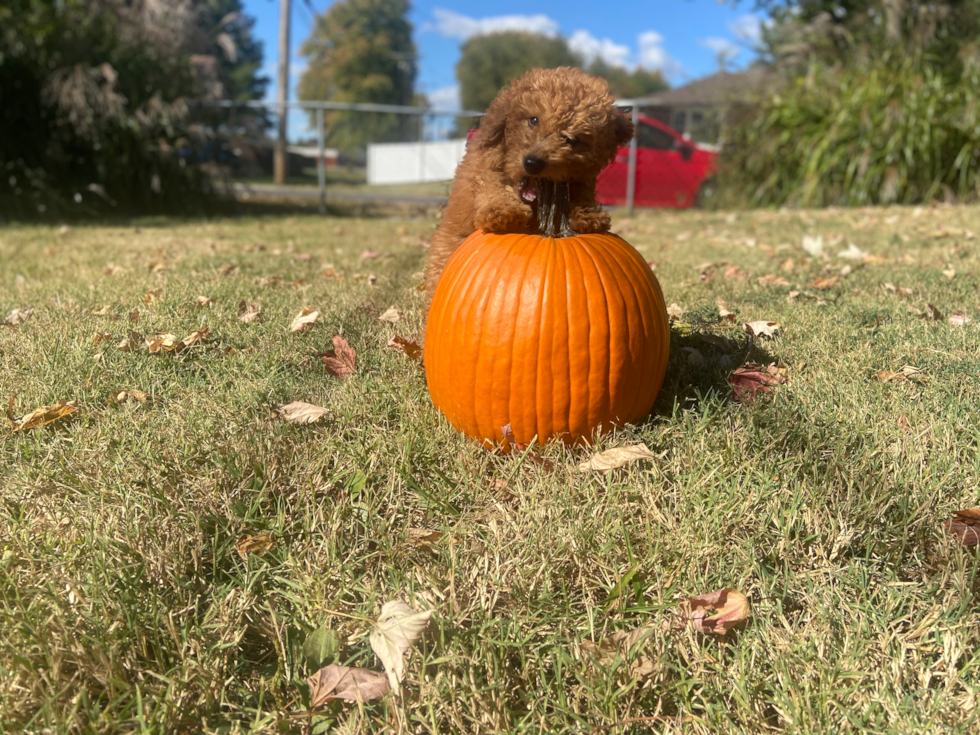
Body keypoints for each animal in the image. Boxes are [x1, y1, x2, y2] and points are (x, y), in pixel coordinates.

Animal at [424, 66, 636, 300]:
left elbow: (582, 191)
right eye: (533, 120)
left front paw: (588, 214)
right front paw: (504, 210)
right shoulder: (484, 166)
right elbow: (491, 183)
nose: (533, 163)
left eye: (573, 139)